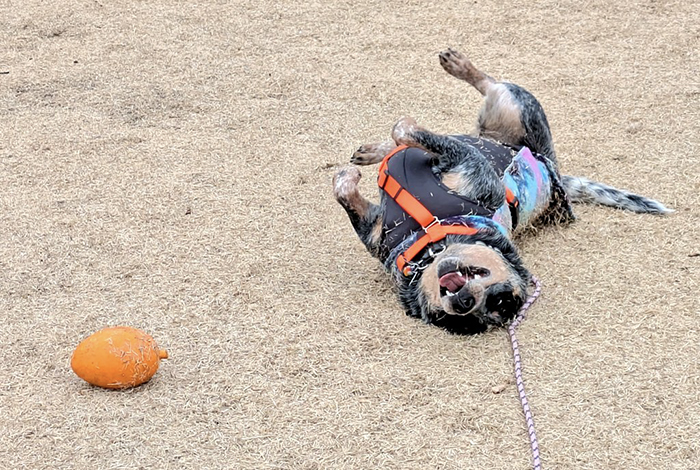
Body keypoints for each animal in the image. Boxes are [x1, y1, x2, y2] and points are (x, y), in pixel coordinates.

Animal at [330, 48, 668, 334]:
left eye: (498, 302)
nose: (464, 302)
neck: (432, 232)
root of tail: (550, 165)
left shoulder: (468, 163)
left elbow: (404, 128)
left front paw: (395, 137)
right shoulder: (376, 228)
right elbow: (347, 188)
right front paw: (356, 170)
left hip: (520, 114)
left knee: (493, 87)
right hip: (510, 117)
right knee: (490, 91)